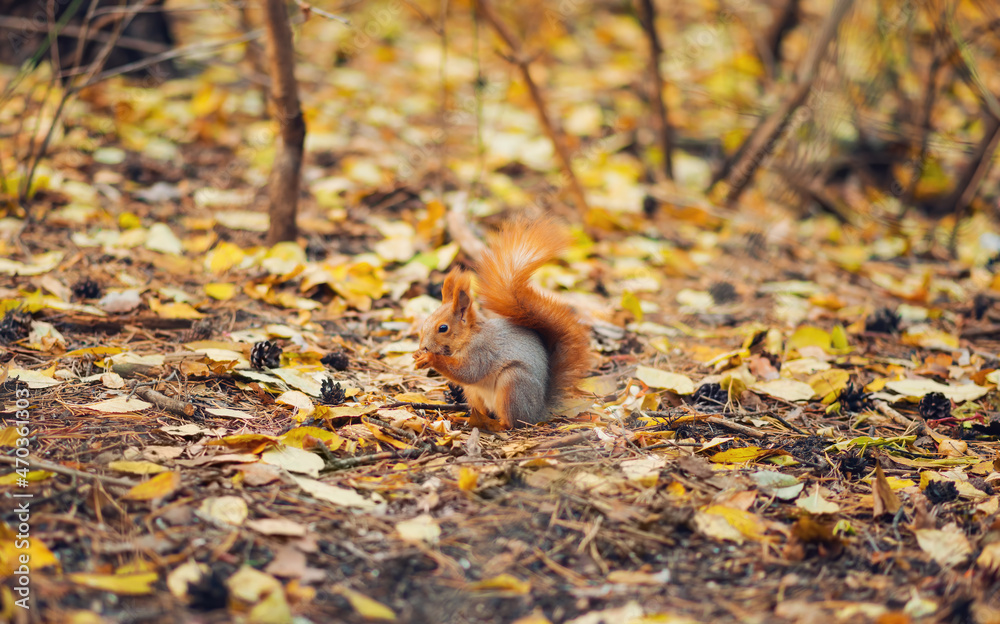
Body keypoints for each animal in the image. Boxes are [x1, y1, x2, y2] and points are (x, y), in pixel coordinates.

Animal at [413, 218, 592, 430]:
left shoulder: (482, 351)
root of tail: (537, 412)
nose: (424, 346)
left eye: (443, 328)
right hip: (474, 393)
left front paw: (430, 358)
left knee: (511, 423)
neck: (470, 336)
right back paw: (465, 419)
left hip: (512, 384)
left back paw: (496, 425)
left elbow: (468, 372)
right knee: (481, 411)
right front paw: (418, 355)